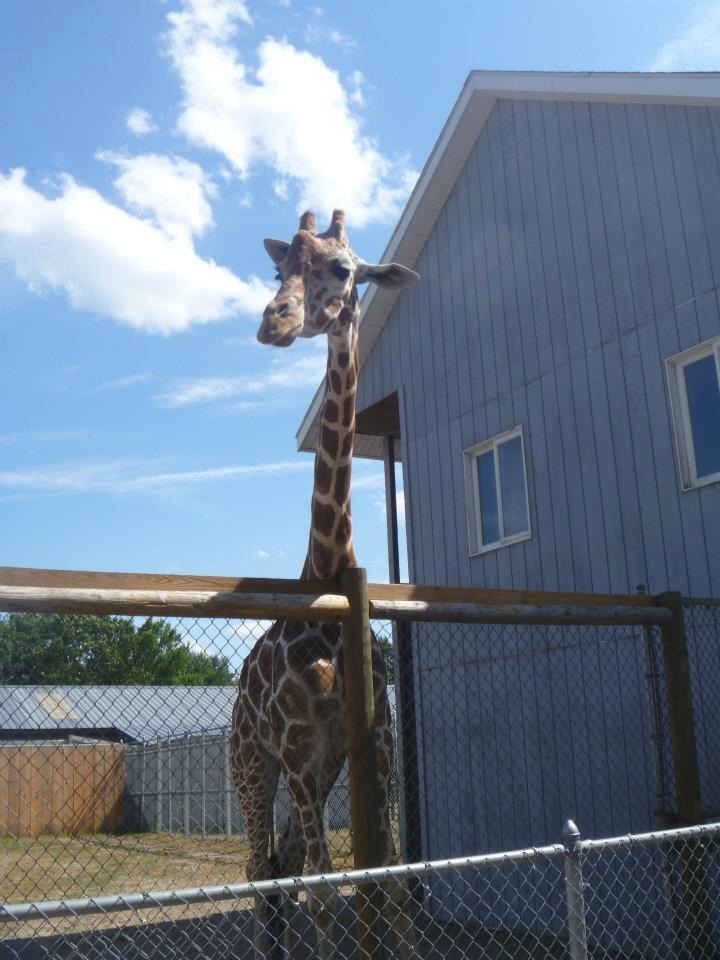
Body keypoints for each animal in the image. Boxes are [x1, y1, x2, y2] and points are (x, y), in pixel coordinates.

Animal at [230, 209, 418, 959]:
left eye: (342, 268)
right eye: (279, 270)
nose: (272, 321)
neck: (329, 569)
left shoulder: (371, 745)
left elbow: (387, 878)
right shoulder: (294, 749)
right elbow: (324, 883)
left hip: (314, 767)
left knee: (278, 866)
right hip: (252, 764)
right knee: (260, 869)